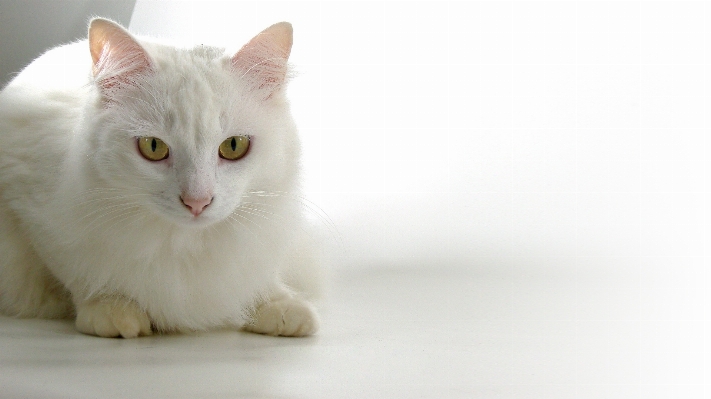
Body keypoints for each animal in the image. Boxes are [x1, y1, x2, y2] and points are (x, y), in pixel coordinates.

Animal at [0, 18, 320, 338]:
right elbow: (79, 273)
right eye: (153, 147)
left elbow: (259, 278)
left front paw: (279, 306)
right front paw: (111, 308)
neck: (185, 246)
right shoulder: (30, 209)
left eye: (234, 146)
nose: (197, 202)